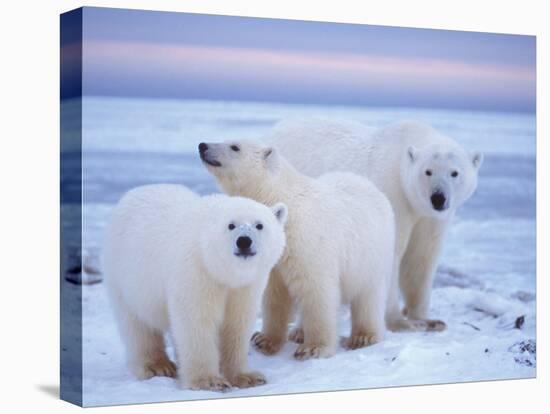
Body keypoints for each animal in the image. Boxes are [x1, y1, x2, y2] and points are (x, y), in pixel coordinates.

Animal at [270, 119, 484, 330]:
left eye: (454, 173)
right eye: (428, 172)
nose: (438, 198)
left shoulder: (430, 218)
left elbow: (421, 257)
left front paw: (427, 319)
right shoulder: (394, 195)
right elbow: (391, 253)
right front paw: (398, 322)